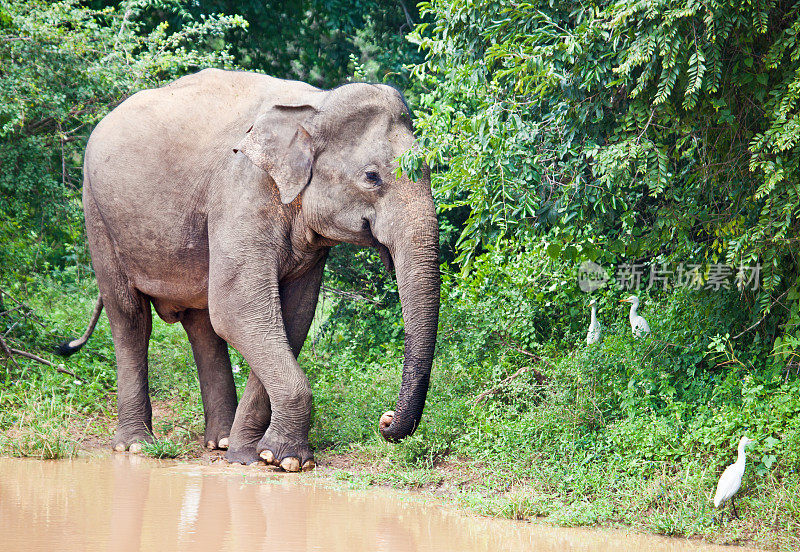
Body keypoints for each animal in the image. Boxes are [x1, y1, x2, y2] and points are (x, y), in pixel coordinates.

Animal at [59, 66, 440, 470]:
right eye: (372, 176)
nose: (385, 421)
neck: (316, 105)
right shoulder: (241, 192)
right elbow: (240, 309)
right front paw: (285, 460)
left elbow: (290, 317)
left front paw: (255, 455)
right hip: (97, 213)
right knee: (130, 318)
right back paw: (136, 446)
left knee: (202, 324)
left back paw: (220, 442)